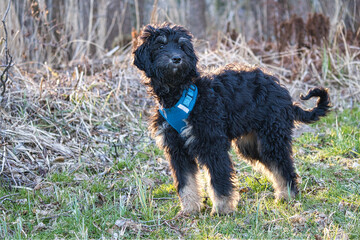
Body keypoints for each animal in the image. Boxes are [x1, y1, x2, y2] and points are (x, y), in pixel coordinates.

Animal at [132, 23, 330, 216]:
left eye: (181, 46)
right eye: (161, 45)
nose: (176, 58)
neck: (178, 93)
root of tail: (286, 96)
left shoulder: (212, 143)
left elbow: (219, 180)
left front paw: (222, 209)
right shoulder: (177, 149)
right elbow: (186, 183)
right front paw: (189, 209)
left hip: (271, 137)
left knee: (283, 165)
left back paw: (287, 196)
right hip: (251, 144)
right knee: (276, 165)